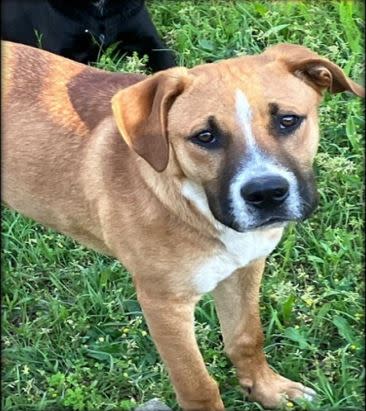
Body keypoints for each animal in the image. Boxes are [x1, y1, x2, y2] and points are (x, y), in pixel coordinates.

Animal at [1, 39, 364, 411]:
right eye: (205, 136)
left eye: (288, 120)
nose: (265, 193)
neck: (195, 205)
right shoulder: (164, 304)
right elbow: (197, 384)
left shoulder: (245, 268)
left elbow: (247, 338)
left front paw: (268, 390)